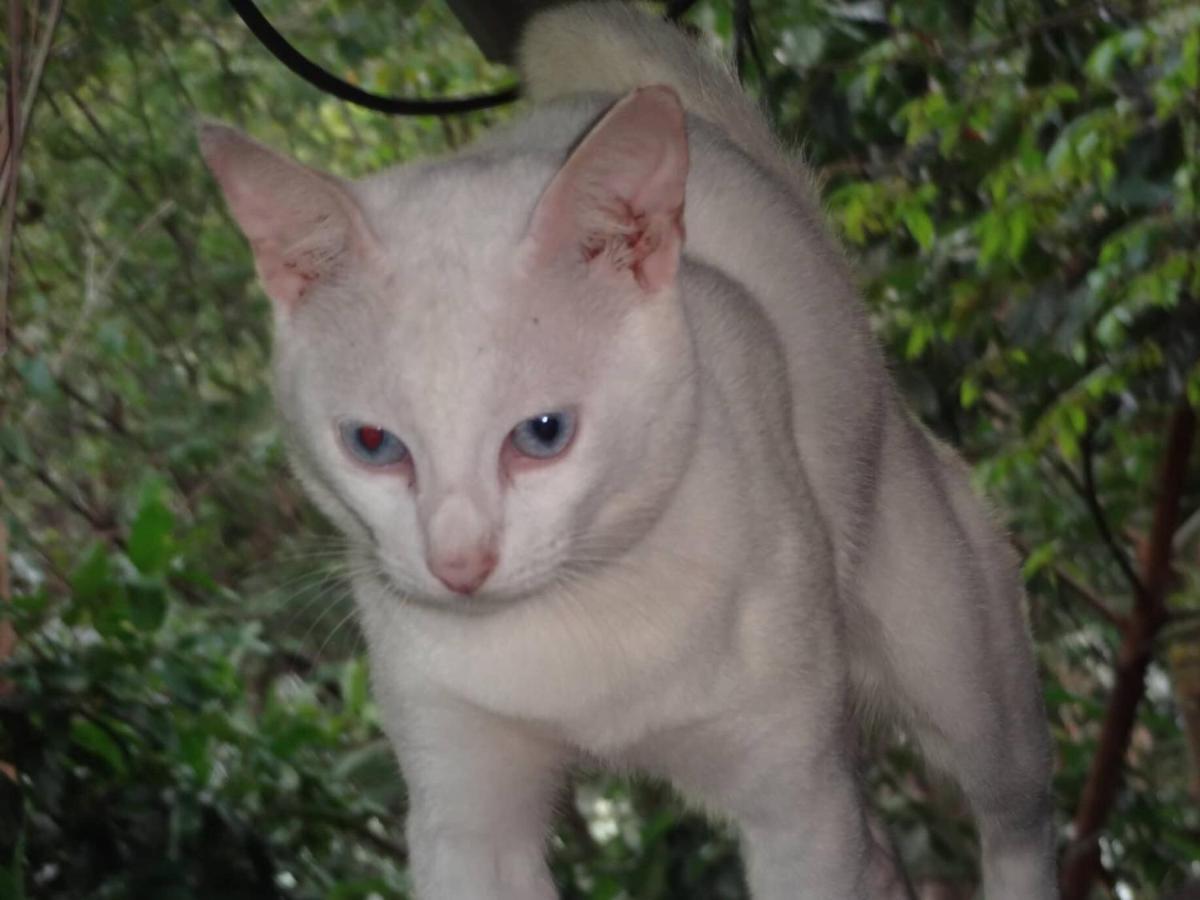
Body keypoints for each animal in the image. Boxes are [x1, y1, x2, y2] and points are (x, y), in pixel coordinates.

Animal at [201, 3, 1056, 897]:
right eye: (373, 444)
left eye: (543, 433)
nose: (459, 567)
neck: (578, 630)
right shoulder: (466, 819)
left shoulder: (799, 801)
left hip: (967, 681)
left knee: (1017, 818)